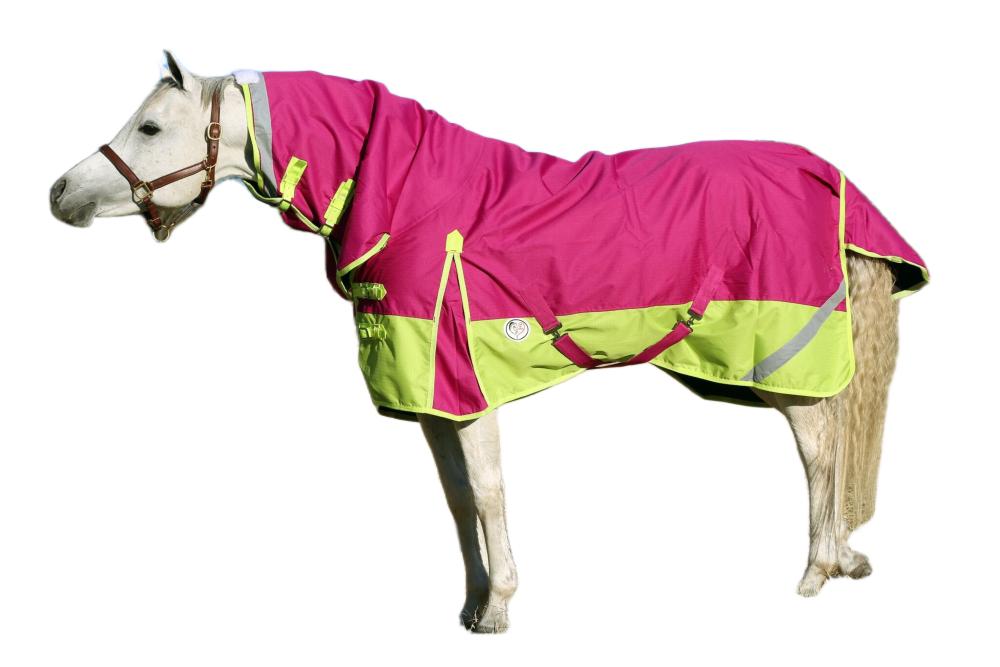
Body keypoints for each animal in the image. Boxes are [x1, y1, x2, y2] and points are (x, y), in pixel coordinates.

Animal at [49, 52, 927, 633]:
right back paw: (844, 558)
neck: (408, 200)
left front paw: (500, 604)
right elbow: (457, 498)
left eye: (150, 125)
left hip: (784, 361)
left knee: (822, 452)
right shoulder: (433, 399)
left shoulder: (466, 387)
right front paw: (473, 602)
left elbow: (491, 491)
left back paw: (817, 570)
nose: (60, 193)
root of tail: (830, 177)